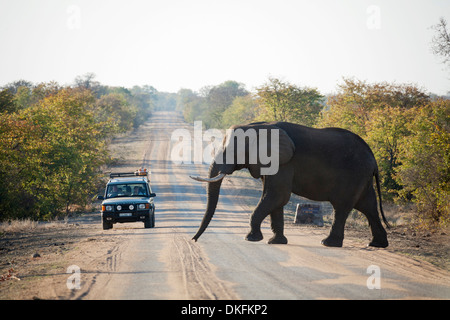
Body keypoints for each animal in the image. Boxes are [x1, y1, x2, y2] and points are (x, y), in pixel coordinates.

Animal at [190, 121, 390, 249]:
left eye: (231, 151)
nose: (193, 240)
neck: (258, 126)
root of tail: (373, 158)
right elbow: (274, 199)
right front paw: (275, 242)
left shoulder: (283, 163)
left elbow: (277, 196)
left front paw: (251, 239)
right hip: (362, 178)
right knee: (368, 206)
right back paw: (377, 244)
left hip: (354, 175)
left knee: (342, 207)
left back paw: (328, 243)